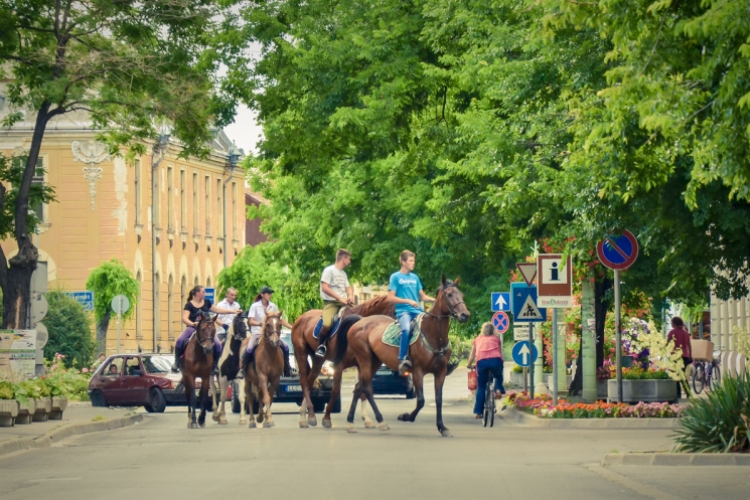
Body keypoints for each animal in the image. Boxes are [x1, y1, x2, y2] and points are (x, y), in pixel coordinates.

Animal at [290, 294, 396, 428]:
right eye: (394, 311)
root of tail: (301, 318)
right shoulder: (339, 364)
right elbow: (335, 391)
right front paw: (326, 419)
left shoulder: (361, 364)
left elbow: (361, 389)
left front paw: (367, 419)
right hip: (301, 353)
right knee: (304, 382)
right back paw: (309, 417)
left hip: (318, 359)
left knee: (309, 382)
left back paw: (306, 416)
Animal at [340, 278, 470, 438]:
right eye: (449, 294)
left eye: (461, 294)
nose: (465, 315)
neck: (432, 334)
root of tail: (359, 321)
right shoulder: (418, 372)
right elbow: (421, 400)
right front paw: (406, 416)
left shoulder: (440, 373)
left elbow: (438, 400)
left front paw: (442, 427)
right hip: (365, 360)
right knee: (366, 388)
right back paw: (380, 422)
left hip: (375, 362)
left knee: (359, 388)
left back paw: (351, 422)